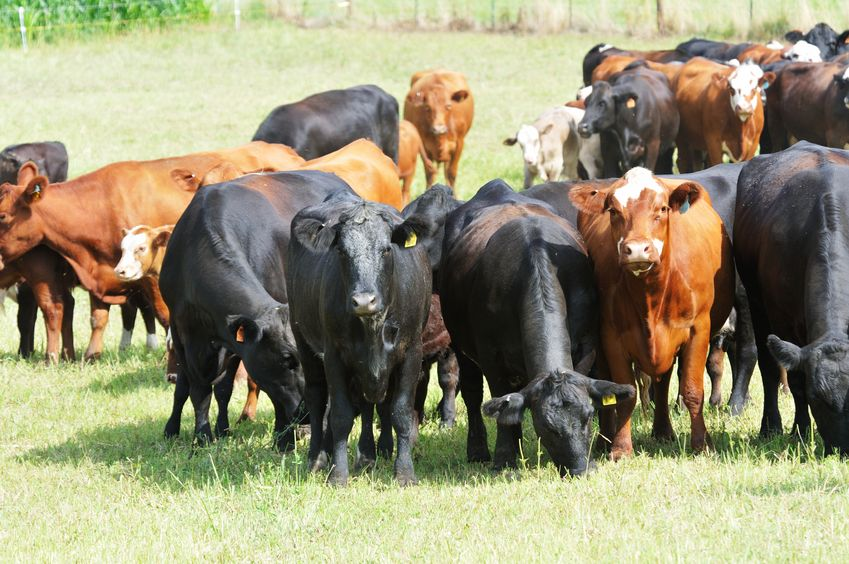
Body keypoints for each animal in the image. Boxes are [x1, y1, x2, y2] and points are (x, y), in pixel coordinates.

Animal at [287, 193, 431, 486]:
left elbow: (400, 411)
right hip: (304, 341)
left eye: (386, 249)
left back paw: (368, 455)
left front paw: (404, 472)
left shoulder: (411, 352)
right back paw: (318, 458)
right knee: (317, 398)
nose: (364, 300)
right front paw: (338, 475)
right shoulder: (333, 355)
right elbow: (341, 414)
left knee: (368, 404)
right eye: (342, 251)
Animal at [437, 180, 633, 475]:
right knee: (472, 394)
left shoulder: (587, 346)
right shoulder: (491, 357)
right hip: (461, 346)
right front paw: (504, 458)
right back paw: (478, 450)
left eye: (588, 416)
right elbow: (501, 404)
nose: (581, 469)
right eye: (547, 427)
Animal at [569, 167, 734, 459]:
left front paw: (702, 444)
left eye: (663, 208)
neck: (651, 295)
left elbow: (692, 390)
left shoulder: (698, 330)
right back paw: (607, 440)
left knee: (663, 381)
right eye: (613, 210)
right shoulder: (611, 336)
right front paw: (621, 449)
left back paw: (663, 431)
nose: (637, 250)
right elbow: (624, 393)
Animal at [735, 142, 849, 452]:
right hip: (757, 305)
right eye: (818, 399)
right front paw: (800, 431)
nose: (843, 449)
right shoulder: (782, 320)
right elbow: (795, 379)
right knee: (769, 368)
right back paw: (770, 426)